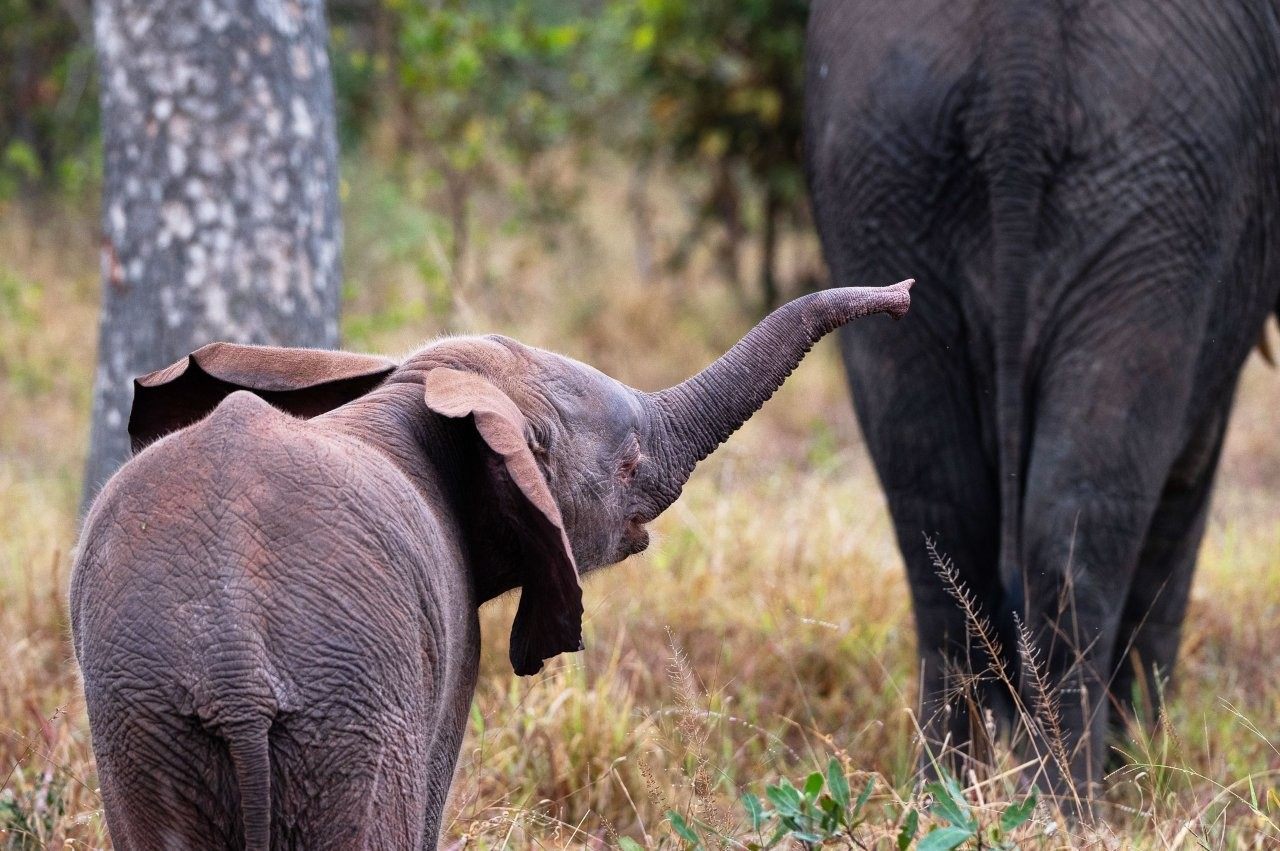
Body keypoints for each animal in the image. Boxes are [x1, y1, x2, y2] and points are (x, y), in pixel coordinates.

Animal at [70, 282, 911, 849]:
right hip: (346, 712)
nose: (904, 294)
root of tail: (235, 665)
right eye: (629, 465)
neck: (409, 391)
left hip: (141, 720)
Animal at [805, 0, 1280, 793]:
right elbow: (1187, 477)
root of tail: (1017, 41)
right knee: (1083, 510)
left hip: (879, 155)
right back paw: (1068, 800)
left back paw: (949, 792)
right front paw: (1142, 760)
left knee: (937, 505)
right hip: (1163, 176)